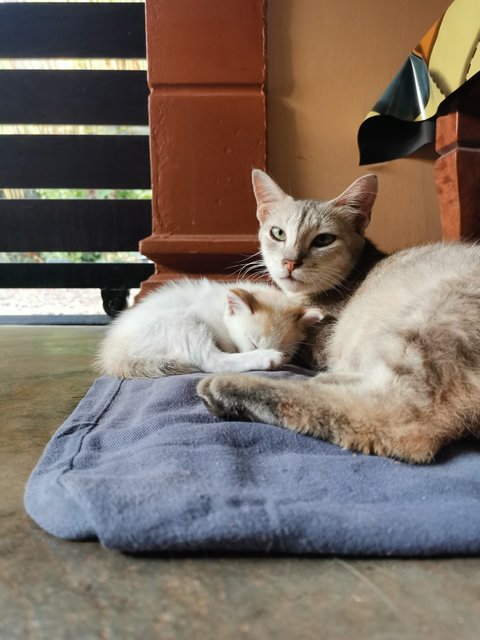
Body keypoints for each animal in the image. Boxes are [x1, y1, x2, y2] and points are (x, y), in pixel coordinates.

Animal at [198, 169, 480, 460]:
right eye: (278, 233)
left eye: (323, 239)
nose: (290, 261)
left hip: (431, 321)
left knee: (398, 418)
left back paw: (229, 388)